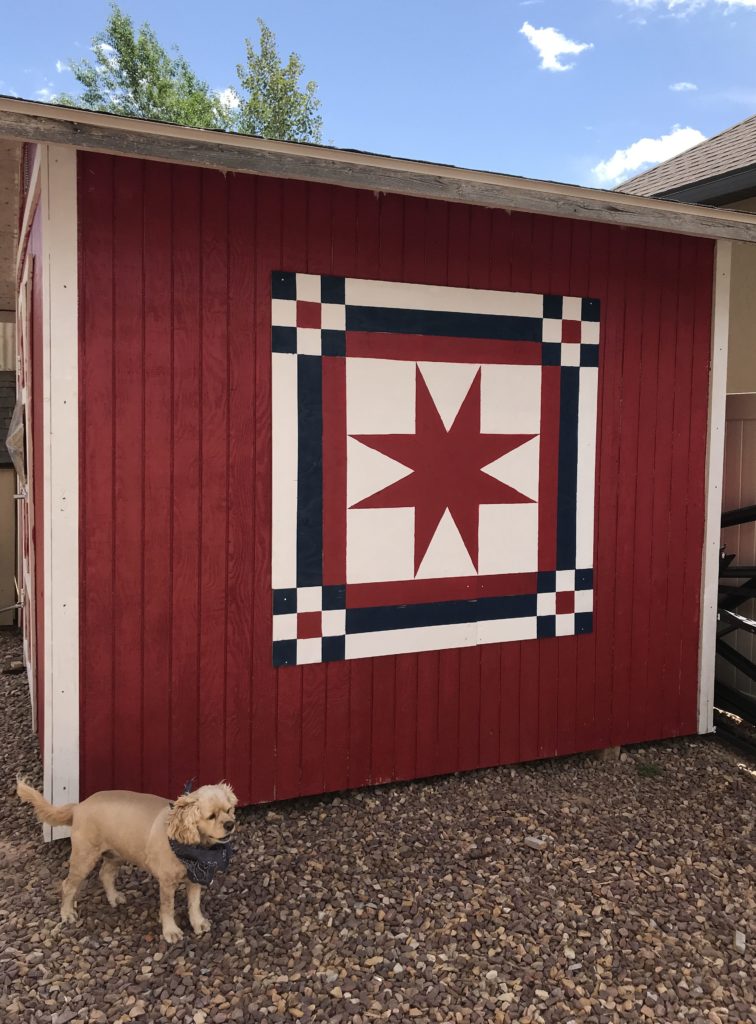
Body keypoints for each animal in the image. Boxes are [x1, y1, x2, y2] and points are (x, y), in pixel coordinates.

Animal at [16, 778, 235, 937]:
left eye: (229, 810)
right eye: (211, 816)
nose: (230, 824)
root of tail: (79, 806)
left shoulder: (196, 877)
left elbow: (194, 904)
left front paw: (198, 923)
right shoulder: (166, 882)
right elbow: (168, 907)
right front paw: (171, 931)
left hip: (116, 854)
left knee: (105, 874)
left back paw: (114, 897)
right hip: (84, 857)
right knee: (68, 885)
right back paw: (67, 913)